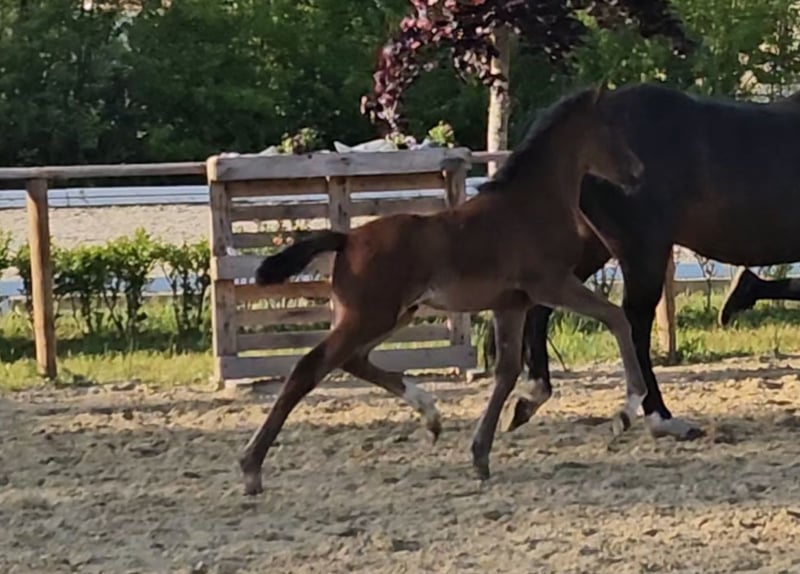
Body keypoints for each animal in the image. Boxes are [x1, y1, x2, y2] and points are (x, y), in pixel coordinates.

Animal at [238, 84, 647, 494]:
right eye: (610, 129)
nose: (638, 172)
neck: (530, 205)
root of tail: (347, 239)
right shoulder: (552, 284)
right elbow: (616, 318)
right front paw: (626, 411)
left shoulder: (512, 304)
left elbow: (507, 371)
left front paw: (481, 455)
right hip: (371, 316)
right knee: (311, 365)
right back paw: (251, 466)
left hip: (395, 315)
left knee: (353, 359)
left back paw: (430, 414)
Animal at [507, 82, 800, 440]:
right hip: (642, 248)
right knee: (634, 324)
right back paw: (660, 417)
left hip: (593, 244)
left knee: (543, 304)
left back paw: (530, 397)